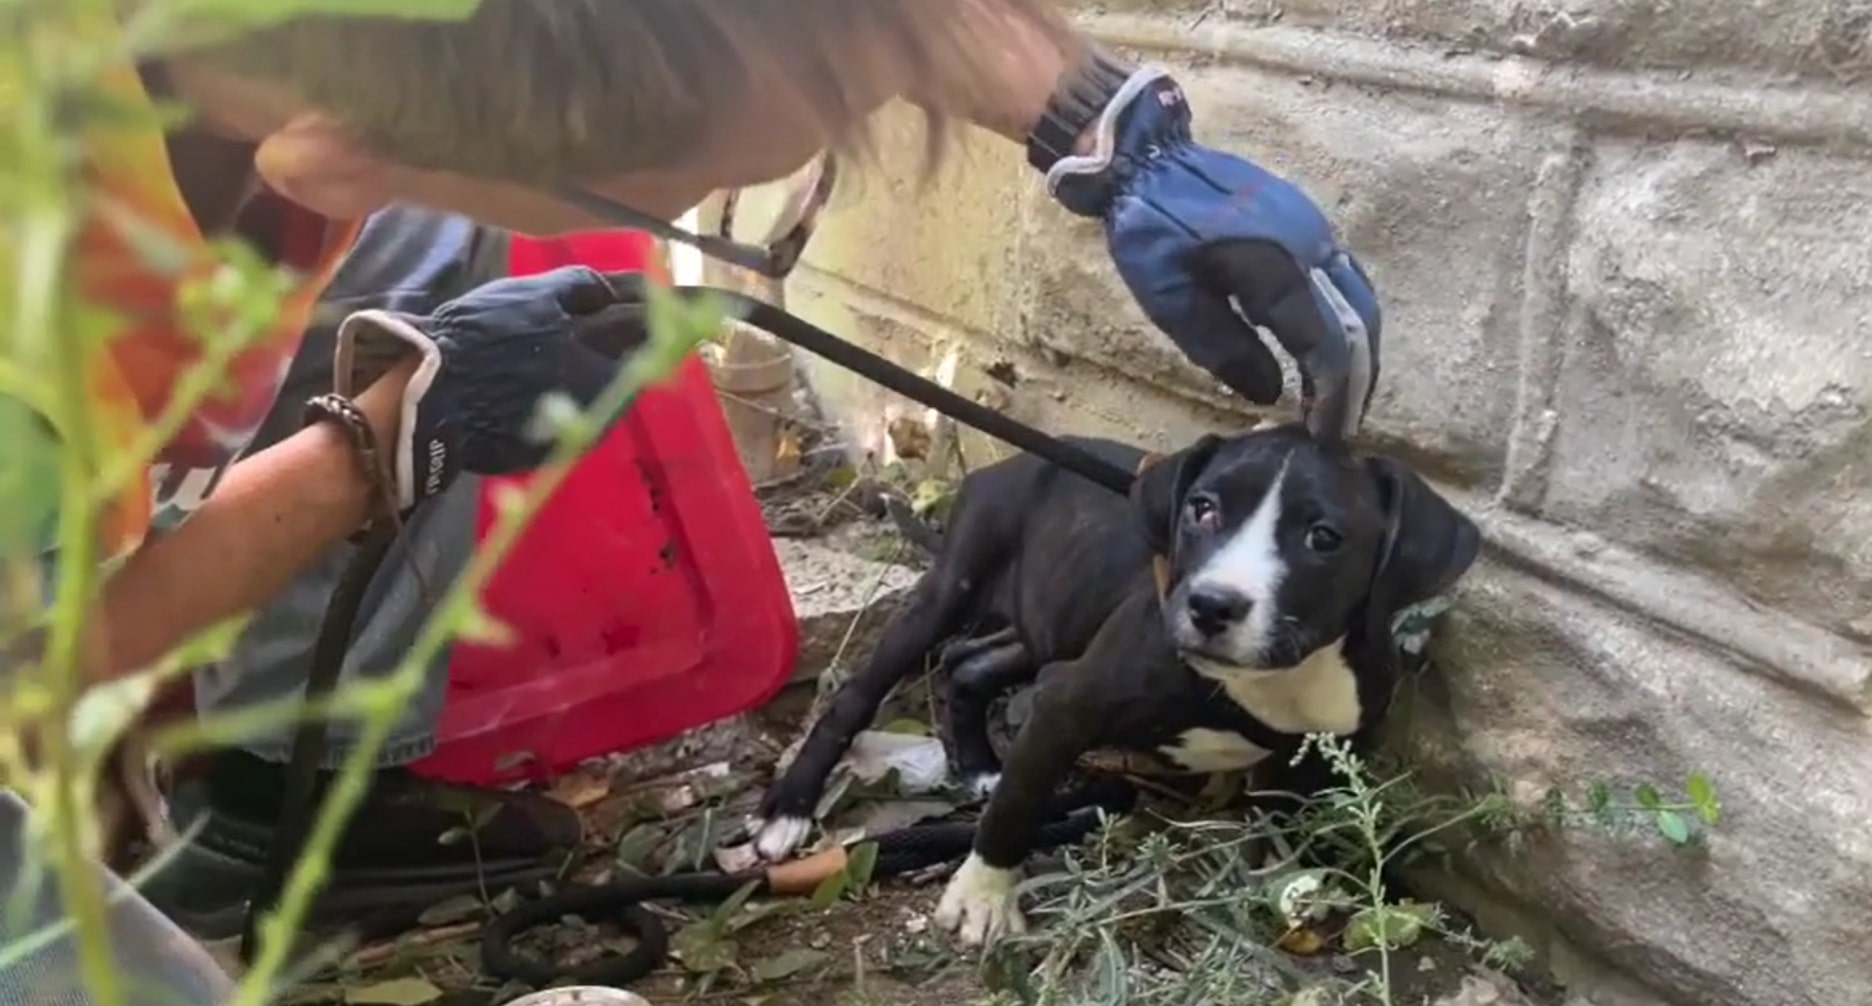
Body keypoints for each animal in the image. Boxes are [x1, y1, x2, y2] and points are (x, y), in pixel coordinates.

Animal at [745, 421, 1475, 940]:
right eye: (1202, 509)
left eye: (1323, 536)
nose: (1210, 605)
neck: (1273, 679)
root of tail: (1006, 463)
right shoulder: (1068, 703)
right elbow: (1017, 807)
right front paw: (983, 895)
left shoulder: (1327, 749)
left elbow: (1290, 819)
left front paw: (1295, 886)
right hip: (951, 589)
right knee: (860, 694)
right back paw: (790, 809)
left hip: (1046, 627)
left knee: (969, 666)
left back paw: (978, 763)